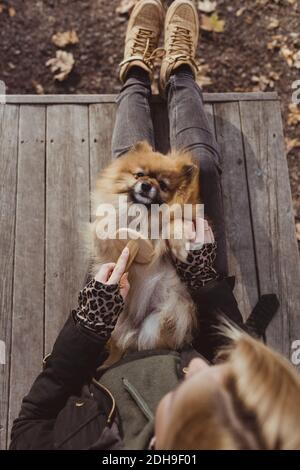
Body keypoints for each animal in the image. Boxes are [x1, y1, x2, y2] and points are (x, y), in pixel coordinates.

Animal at [89, 141, 202, 354]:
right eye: (139, 175)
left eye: (163, 185)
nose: (146, 184)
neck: (144, 214)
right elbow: (107, 229)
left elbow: (175, 223)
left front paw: (180, 244)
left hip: (167, 314)